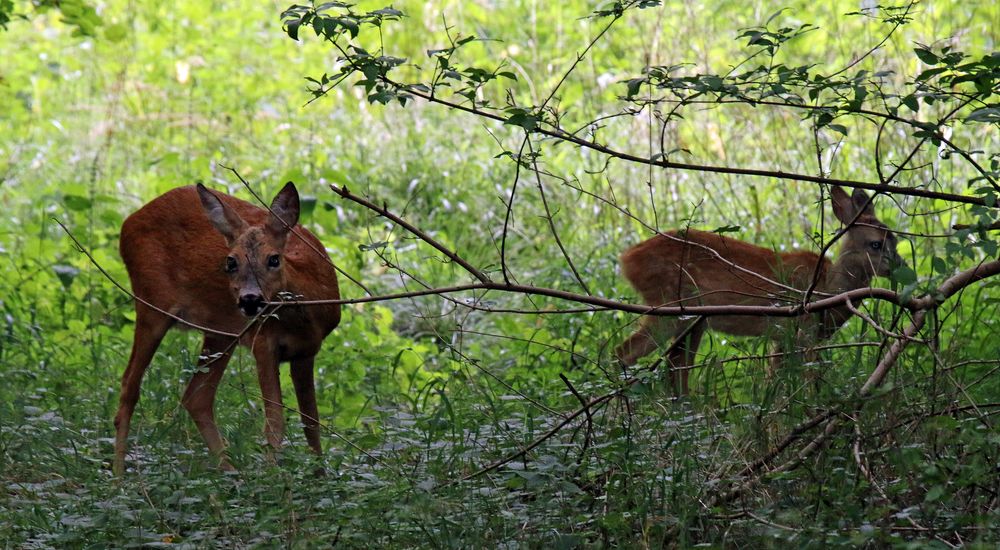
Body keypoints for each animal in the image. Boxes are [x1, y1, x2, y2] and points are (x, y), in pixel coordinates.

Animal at [115, 183, 342, 476]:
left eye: (274, 259)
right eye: (231, 262)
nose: (250, 299)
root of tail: (128, 222)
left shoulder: (307, 351)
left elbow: (311, 422)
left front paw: (320, 477)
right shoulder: (263, 342)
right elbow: (275, 422)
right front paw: (274, 479)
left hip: (220, 332)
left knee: (196, 398)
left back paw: (231, 474)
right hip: (152, 304)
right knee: (129, 384)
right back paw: (118, 477)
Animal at [612, 189, 904, 396]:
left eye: (895, 239)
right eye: (876, 244)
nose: (902, 266)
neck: (827, 289)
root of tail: (626, 259)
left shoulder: (783, 339)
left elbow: (773, 382)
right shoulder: (803, 329)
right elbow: (807, 381)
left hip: (693, 319)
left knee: (676, 367)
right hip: (668, 306)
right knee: (622, 353)